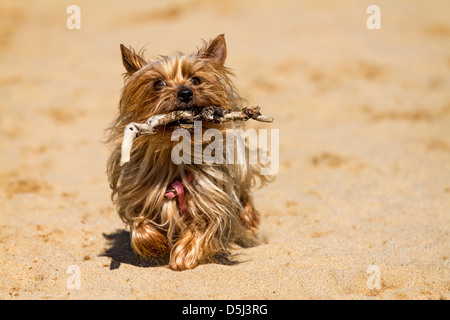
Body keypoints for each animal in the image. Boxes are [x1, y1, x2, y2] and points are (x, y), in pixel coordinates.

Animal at [106, 34, 268, 270]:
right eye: (158, 84)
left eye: (196, 80)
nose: (185, 92)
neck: (176, 153)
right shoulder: (140, 195)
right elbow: (140, 226)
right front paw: (156, 247)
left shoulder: (209, 197)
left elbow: (203, 227)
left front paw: (184, 256)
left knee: (244, 191)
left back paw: (249, 218)